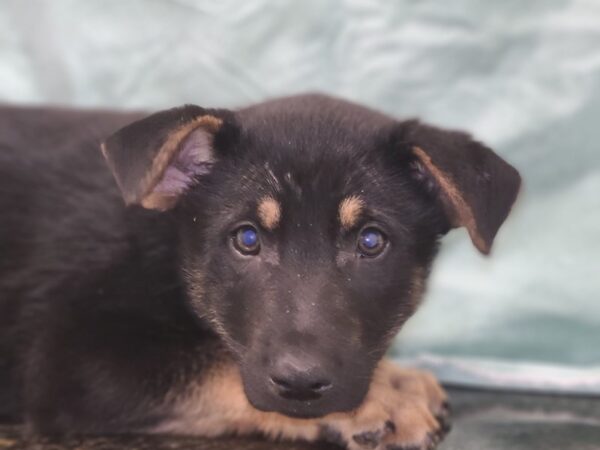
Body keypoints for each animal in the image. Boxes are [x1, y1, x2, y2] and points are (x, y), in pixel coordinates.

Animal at [0, 93, 520, 448]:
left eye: (371, 242)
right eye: (247, 239)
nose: (301, 383)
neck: (170, 251)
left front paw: (393, 377)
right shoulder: (71, 360)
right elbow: (219, 367)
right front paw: (379, 400)